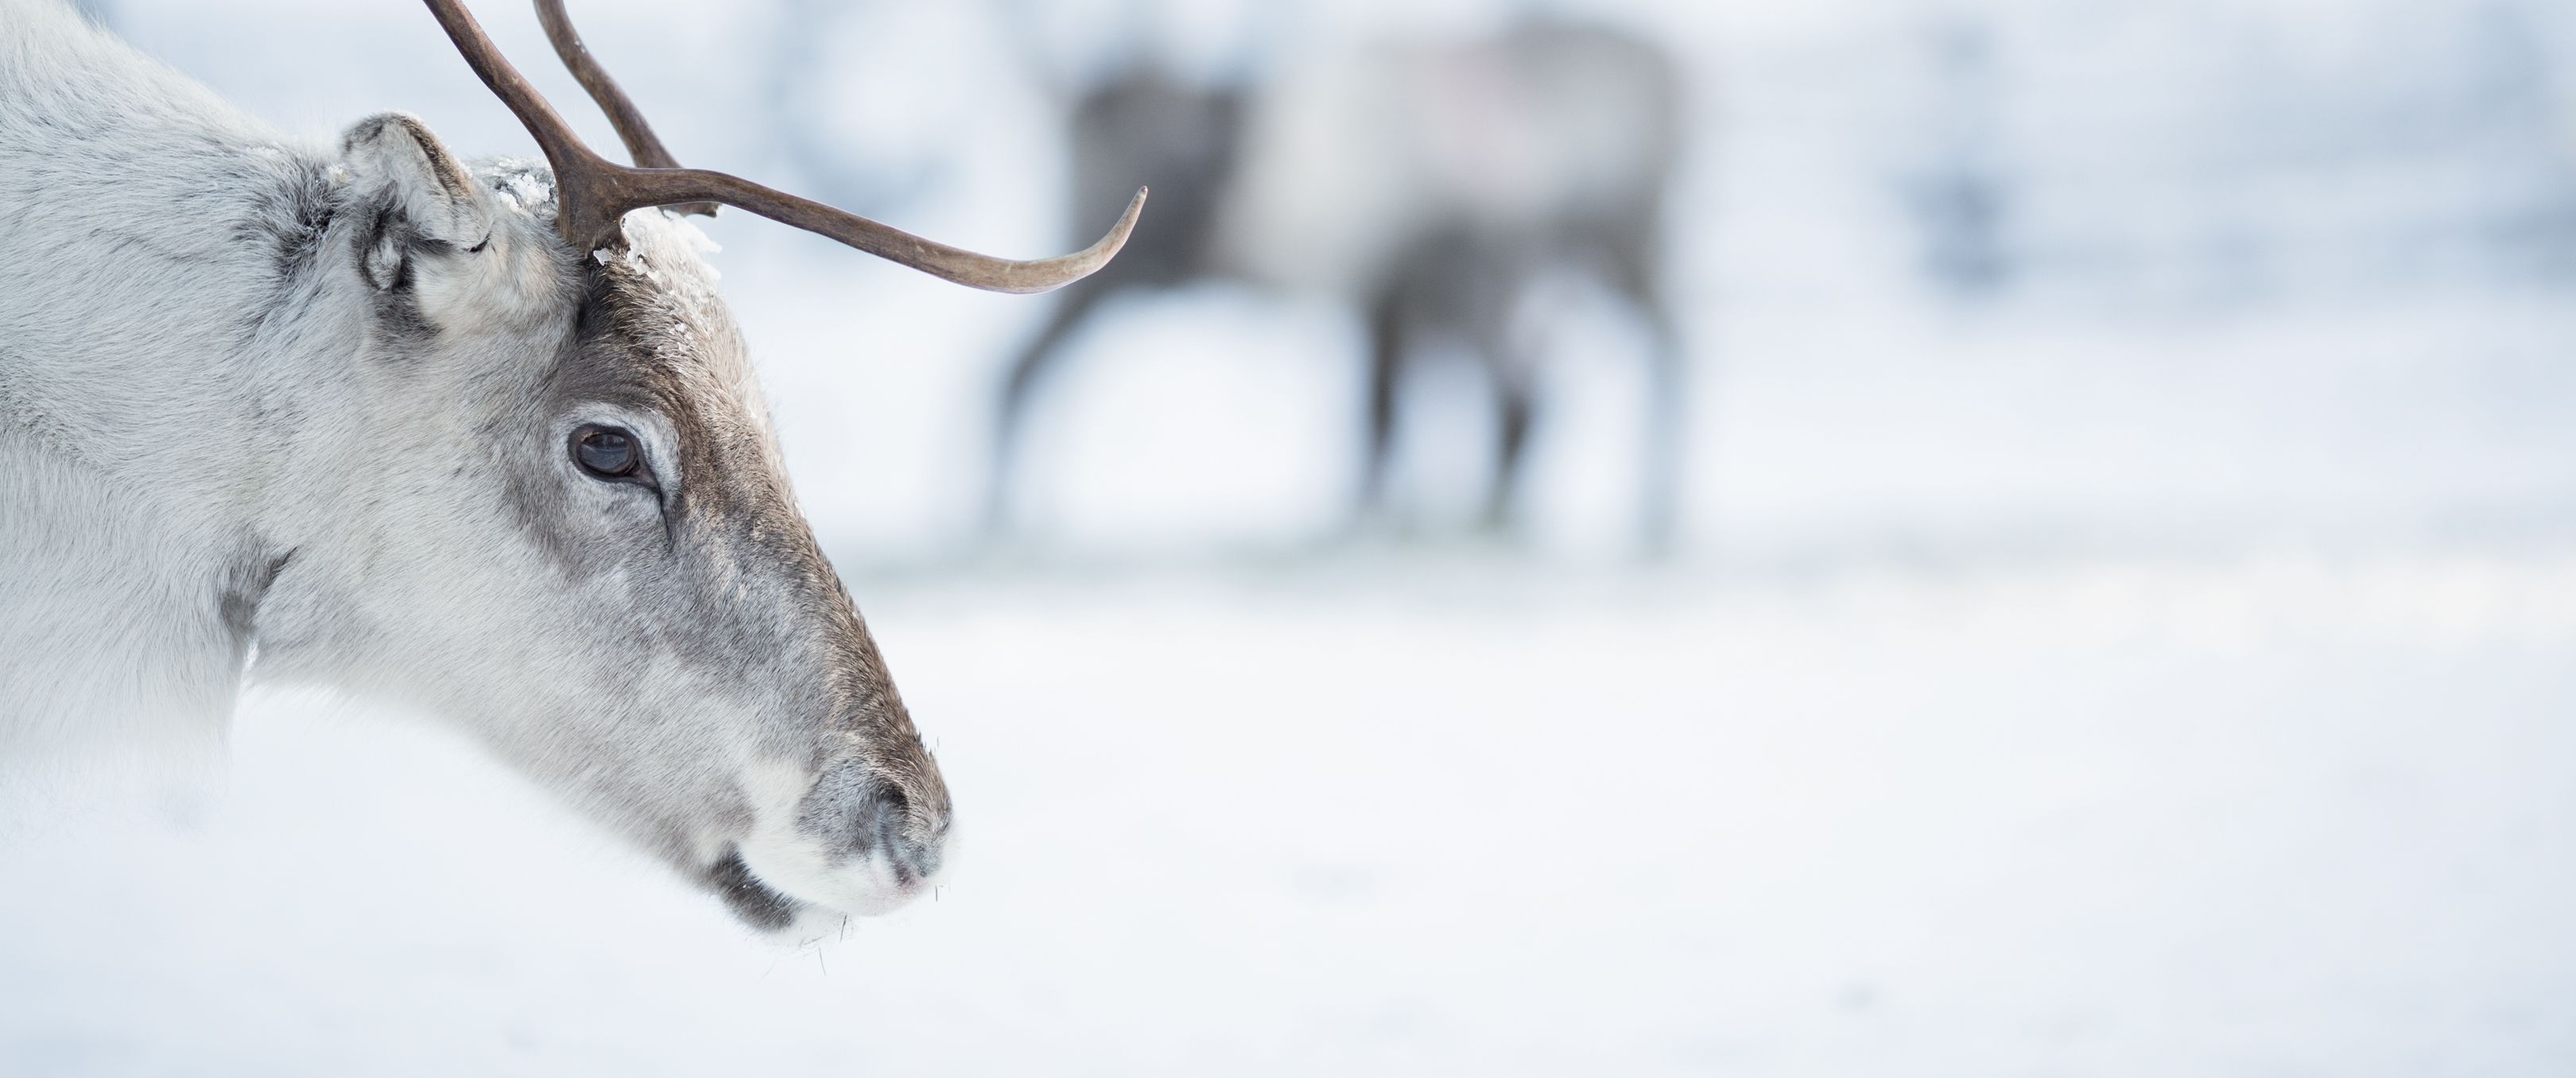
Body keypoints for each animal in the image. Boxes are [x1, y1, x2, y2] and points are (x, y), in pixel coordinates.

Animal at [985, 18, 1686, 545]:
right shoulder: (1394, 287)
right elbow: (1380, 412)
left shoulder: (1400, 289)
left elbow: (1386, 413)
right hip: (1101, 277)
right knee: (1015, 374)